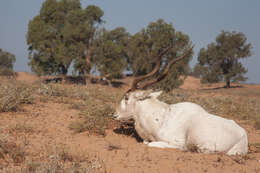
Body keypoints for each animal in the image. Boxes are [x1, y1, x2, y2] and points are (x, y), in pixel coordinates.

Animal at [114, 46, 248, 155]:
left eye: (126, 97)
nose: (114, 115)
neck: (161, 118)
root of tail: (243, 135)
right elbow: (146, 142)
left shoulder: (175, 142)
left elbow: (151, 144)